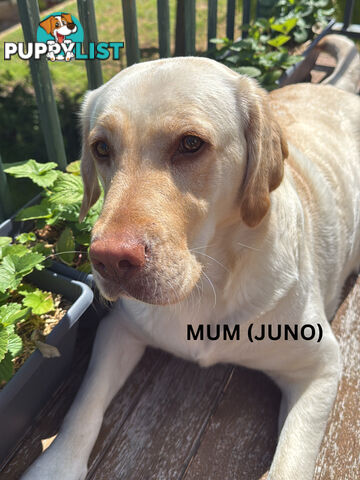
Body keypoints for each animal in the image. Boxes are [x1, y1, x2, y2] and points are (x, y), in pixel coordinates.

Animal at [23, 34, 360, 480]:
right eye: (101, 148)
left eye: (190, 144)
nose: (107, 259)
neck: (206, 286)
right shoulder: (119, 330)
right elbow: (83, 408)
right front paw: (56, 465)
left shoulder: (321, 367)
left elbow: (291, 464)